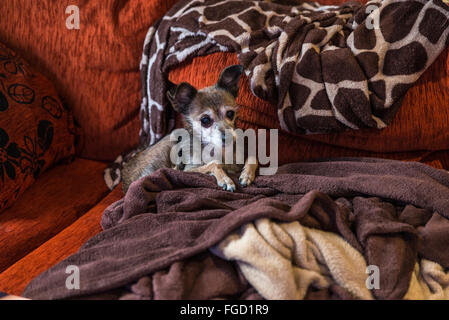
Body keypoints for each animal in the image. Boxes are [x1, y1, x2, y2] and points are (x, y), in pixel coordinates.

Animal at [121, 65, 258, 192]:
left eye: (230, 113)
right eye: (205, 120)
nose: (229, 137)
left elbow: (253, 157)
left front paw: (246, 175)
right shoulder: (189, 170)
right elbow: (214, 164)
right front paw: (225, 179)